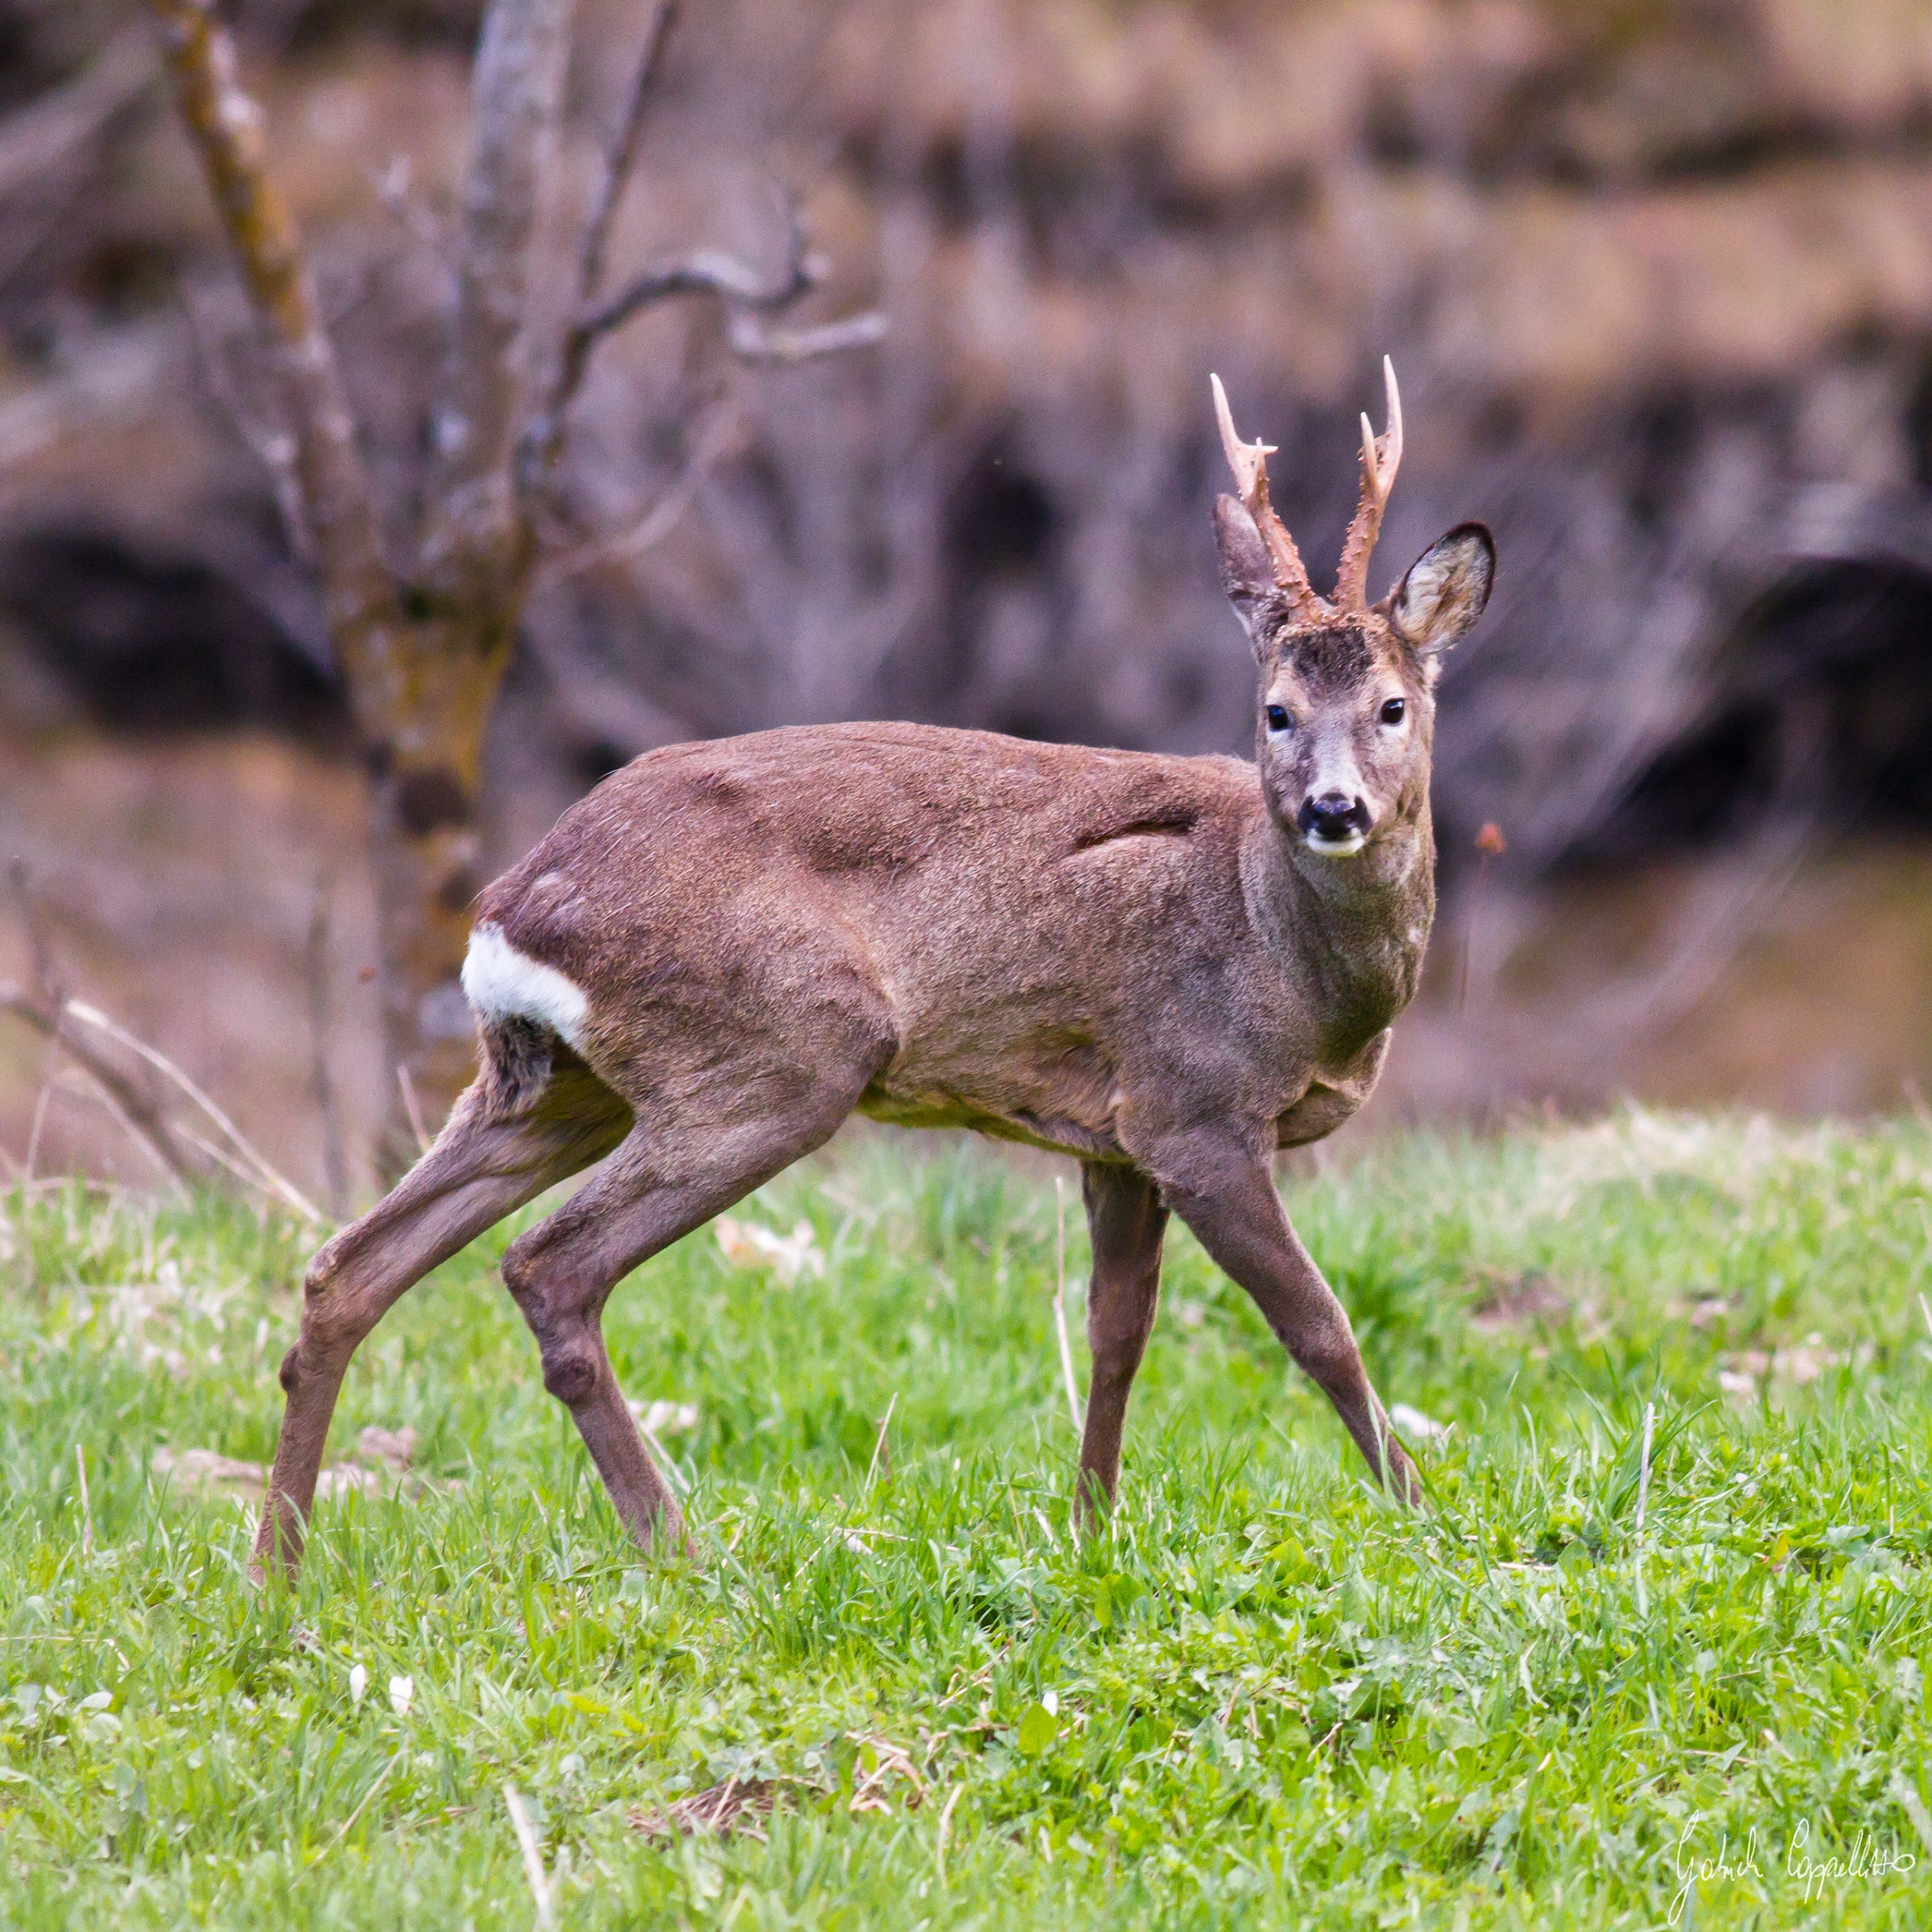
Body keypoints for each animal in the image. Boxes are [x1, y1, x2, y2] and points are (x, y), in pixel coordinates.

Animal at [251, 359, 1494, 1580]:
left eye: (1393, 705)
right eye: (1275, 712)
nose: (1334, 809)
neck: (1290, 970)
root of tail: (513, 907)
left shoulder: (1117, 1134)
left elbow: (1116, 1334)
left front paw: (1092, 1531)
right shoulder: (1196, 1107)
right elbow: (1319, 1327)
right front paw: (1427, 1524)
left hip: (556, 1081)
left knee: (347, 1268)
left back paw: (277, 1571)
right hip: (779, 1051)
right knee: (547, 1268)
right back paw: (682, 1555)